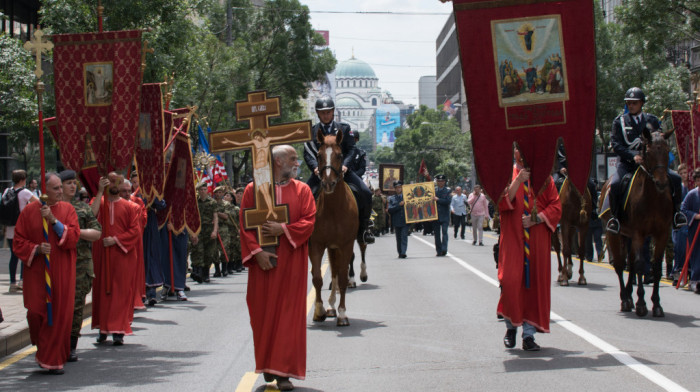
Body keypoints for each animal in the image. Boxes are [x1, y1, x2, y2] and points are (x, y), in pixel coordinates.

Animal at [308, 128, 358, 324]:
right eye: (319, 155)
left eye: (339, 154)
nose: (328, 183)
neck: (334, 209)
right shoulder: (317, 244)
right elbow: (317, 278)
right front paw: (319, 310)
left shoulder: (346, 245)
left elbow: (343, 278)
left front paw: (343, 314)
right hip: (331, 247)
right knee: (334, 272)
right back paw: (330, 307)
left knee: (339, 273)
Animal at [600, 127, 676, 316]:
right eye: (648, 152)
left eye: (667, 151)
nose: (661, 182)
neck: (653, 198)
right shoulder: (639, 234)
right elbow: (641, 265)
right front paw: (642, 304)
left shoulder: (662, 234)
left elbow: (655, 267)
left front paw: (656, 304)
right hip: (614, 234)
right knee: (620, 265)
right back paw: (625, 300)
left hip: (628, 236)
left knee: (631, 264)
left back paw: (629, 296)